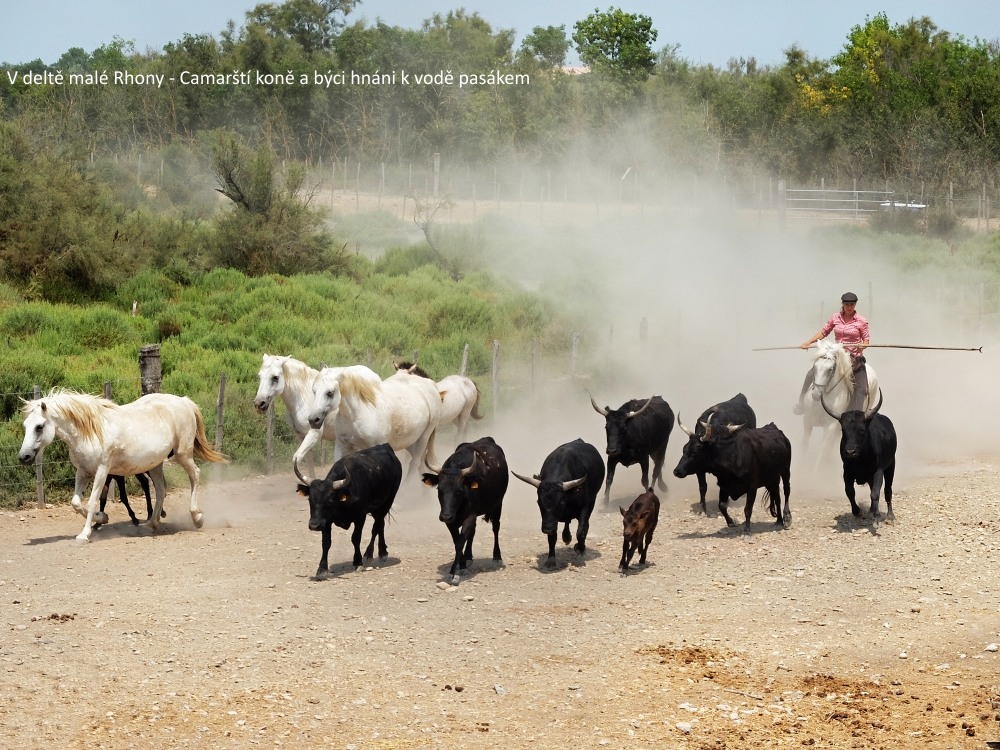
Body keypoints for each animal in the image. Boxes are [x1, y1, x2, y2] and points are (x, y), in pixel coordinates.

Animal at [19, 390, 227, 544]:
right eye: (25, 425)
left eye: (39, 426)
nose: (24, 457)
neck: (90, 433)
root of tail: (184, 402)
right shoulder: (83, 472)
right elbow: (76, 503)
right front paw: (102, 518)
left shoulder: (102, 471)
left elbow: (92, 501)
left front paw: (84, 534)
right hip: (155, 464)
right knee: (161, 489)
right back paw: (151, 524)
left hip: (183, 454)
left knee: (195, 475)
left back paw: (197, 518)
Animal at [296, 366, 438, 482]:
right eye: (314, 391)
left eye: (330, 392)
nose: (313, 420)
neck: (356, 414)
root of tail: (430, 384)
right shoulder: (343, 446)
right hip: (410, 442)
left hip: (423, 438)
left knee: (415, 464)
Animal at [422, 434, 508, 588]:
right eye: (439, 490)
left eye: (459, 491)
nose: (445, 516)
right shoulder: (451, 521)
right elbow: (458, 540)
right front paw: (461, 565)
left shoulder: (470, 516)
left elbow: (460, 542)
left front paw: (454, 573)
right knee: (472, 533)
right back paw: (468, 557)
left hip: (498, 504)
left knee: (496, 527)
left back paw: (497, 556)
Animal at [820, 390, 900, 532]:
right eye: (843, 430)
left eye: (861, 430)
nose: (850, 452)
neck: (861, 459)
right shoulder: (847, 471)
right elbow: (850, 491)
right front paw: (857, 512)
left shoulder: (878, 471)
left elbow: (875, 494)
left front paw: (877, 519)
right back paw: (871, 510)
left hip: (891, 466)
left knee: (887, 491)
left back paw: (890, 516)